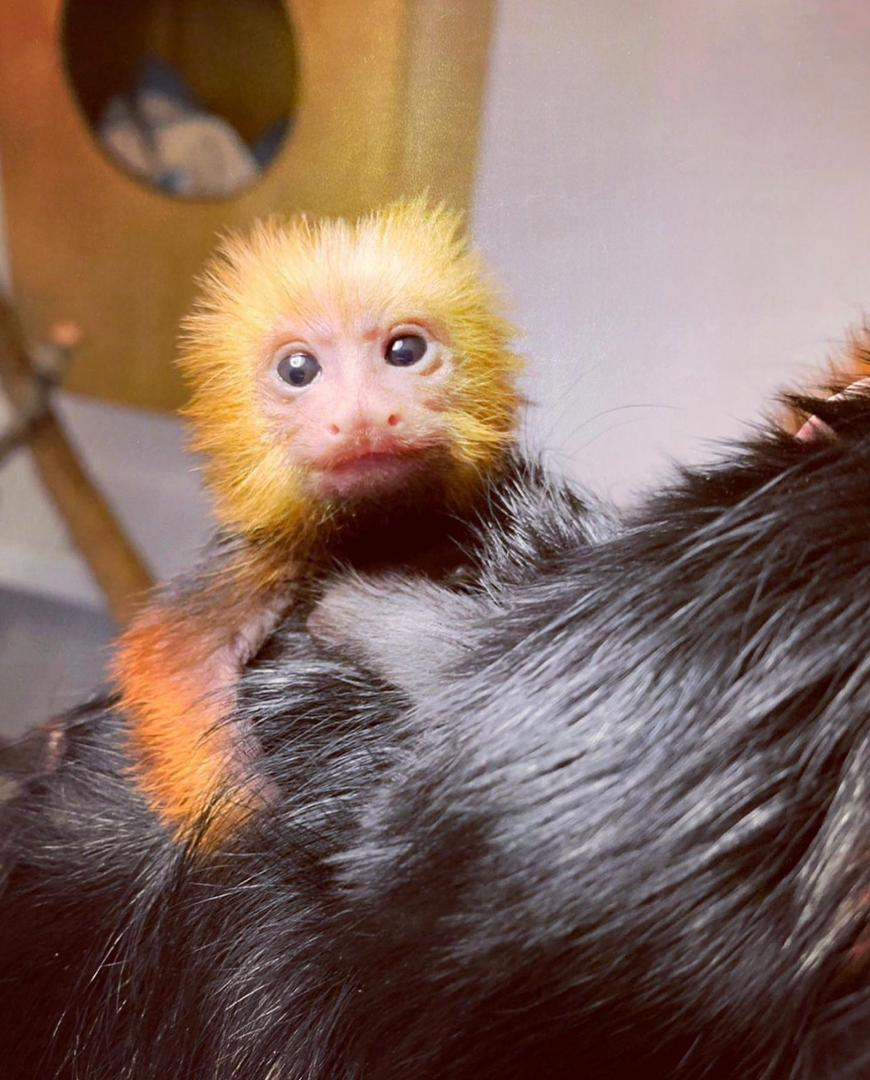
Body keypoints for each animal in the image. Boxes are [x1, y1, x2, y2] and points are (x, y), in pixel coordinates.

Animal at [112, 200, 524, 845]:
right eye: (298, 369)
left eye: (404, 352)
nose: (362, 417)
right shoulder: (256, 560)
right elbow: (174, 660)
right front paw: (252, 824)